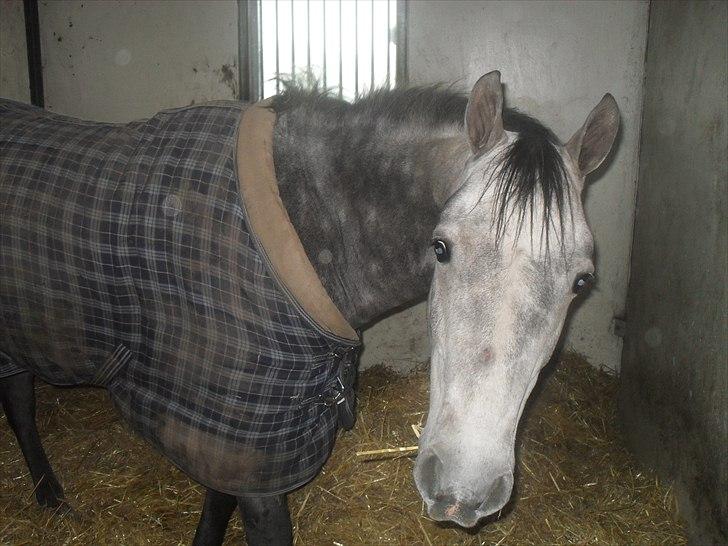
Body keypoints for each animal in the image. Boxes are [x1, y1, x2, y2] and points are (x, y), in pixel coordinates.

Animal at [0, 71, 619, 545]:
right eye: (441, 248)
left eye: (581, 280)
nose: (460, 489)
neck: (306, 221)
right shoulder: (244, 440)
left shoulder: (234, 433)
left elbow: (216, 499)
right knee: (22, 406)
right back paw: (51, 495)